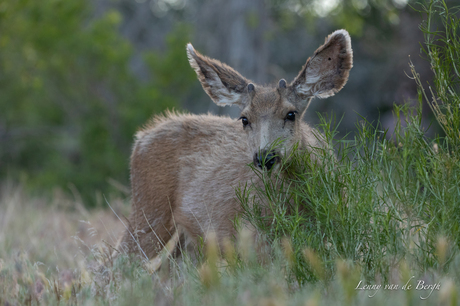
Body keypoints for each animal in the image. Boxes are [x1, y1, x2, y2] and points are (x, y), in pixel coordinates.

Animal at [115, 29, 352, 262]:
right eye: (244, 119)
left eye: (291, 114)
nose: (265, 157)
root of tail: (141, 138)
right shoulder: (253, 232)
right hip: (149, 210)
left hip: (189, 241)